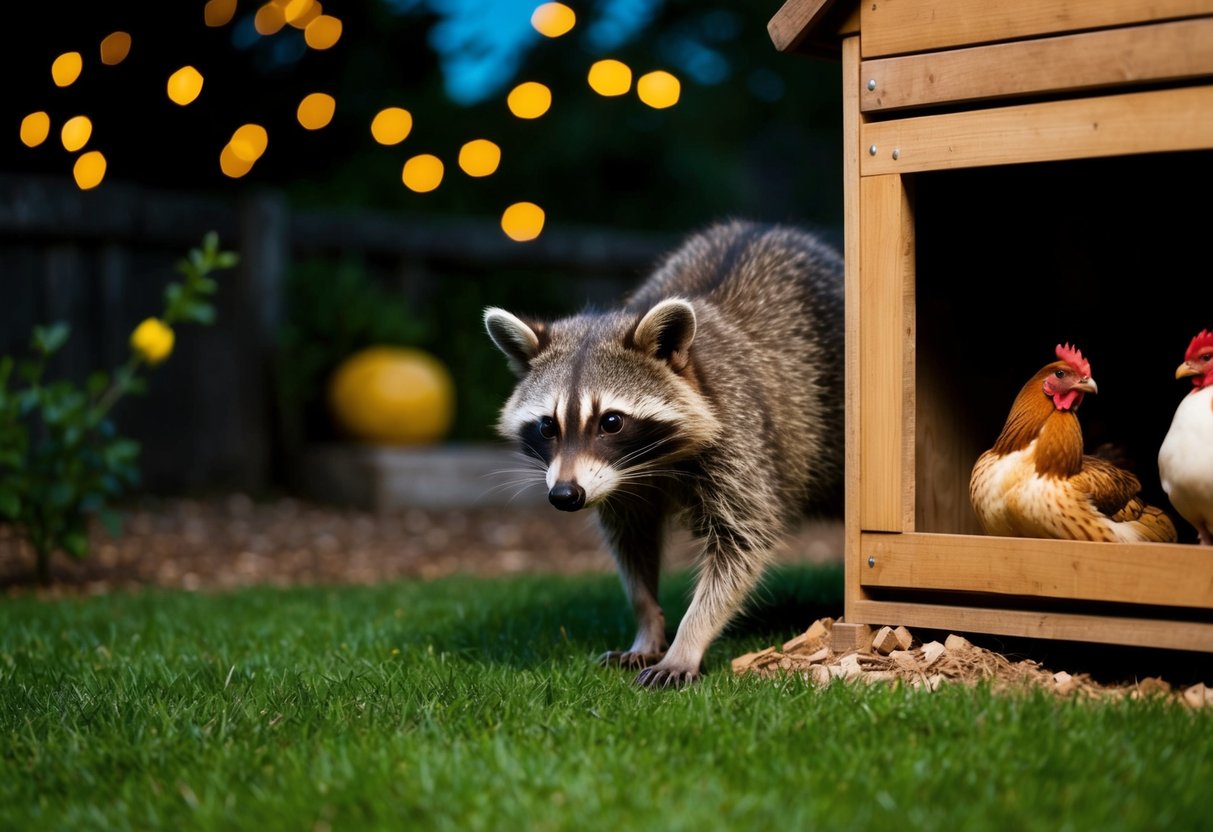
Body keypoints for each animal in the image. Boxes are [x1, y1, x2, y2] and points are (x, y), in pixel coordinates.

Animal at [483, 219, 844, 687]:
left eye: (611, 422)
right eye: (547, 426)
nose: (564, 496)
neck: (649, 463)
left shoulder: (741, 440)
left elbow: (742, 542)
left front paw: (688, 639)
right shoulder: (615, 488)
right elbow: (631, 544)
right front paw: (648, 625)